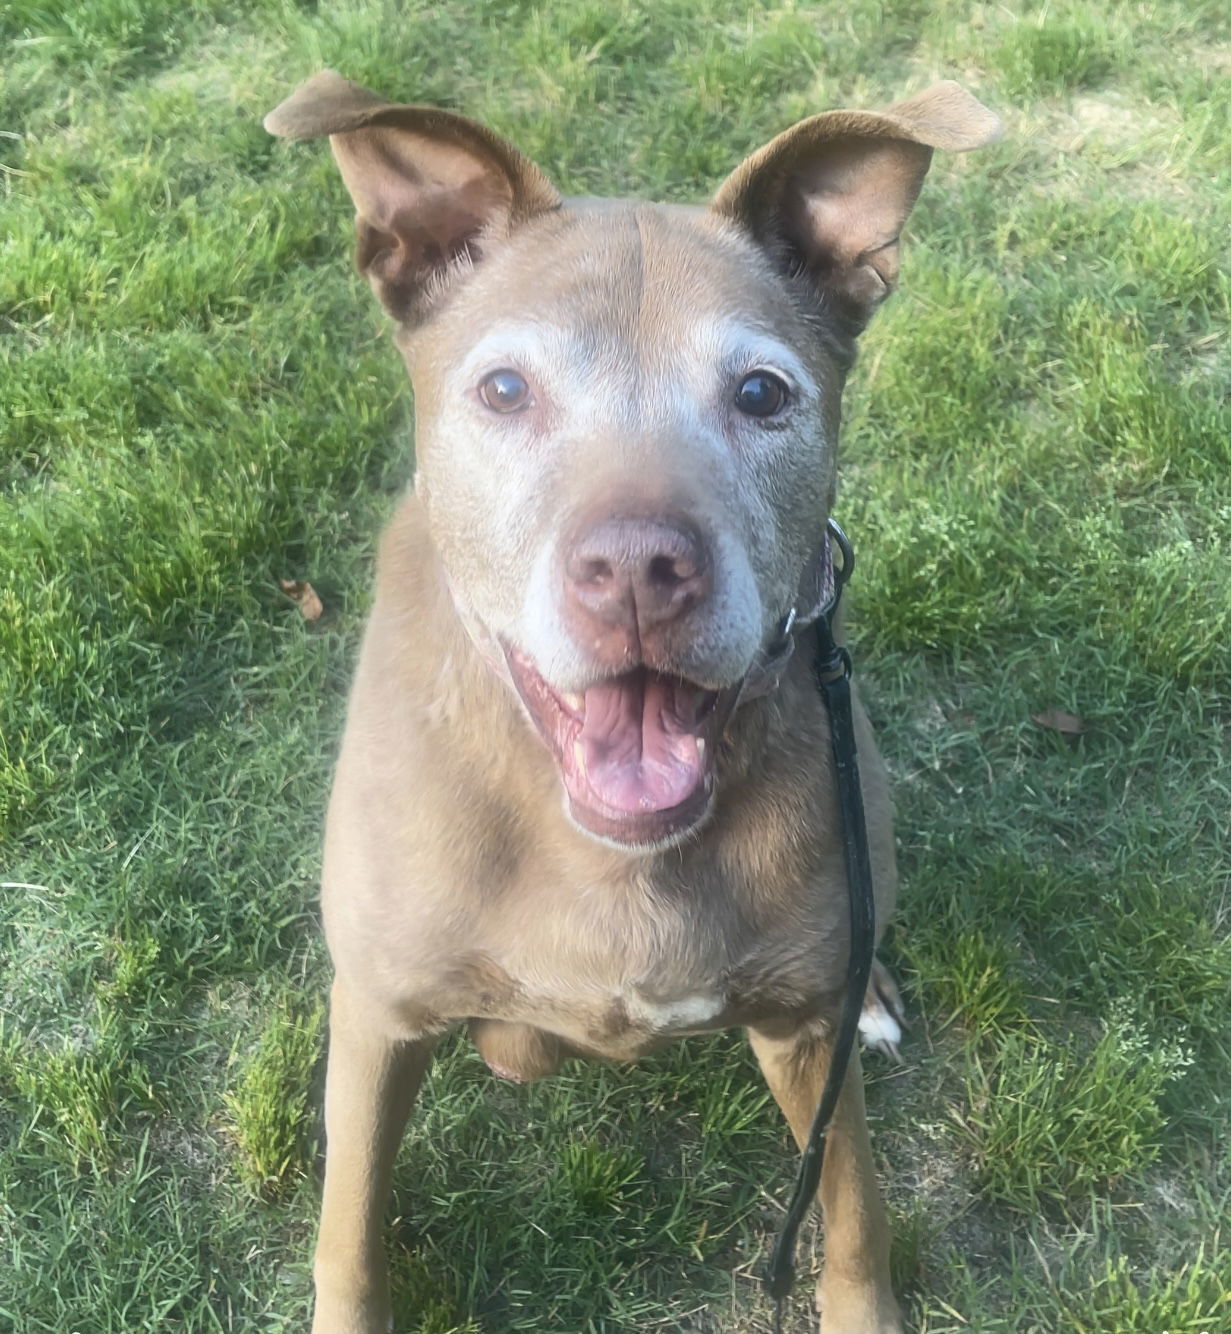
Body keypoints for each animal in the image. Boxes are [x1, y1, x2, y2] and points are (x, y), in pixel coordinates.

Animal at [266, 73, 1002, 1334]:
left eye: (760, 393)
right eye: (504, 388)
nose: (638, 571)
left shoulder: (804, 1045)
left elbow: (852, 1203)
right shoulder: (375, 1017)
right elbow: (349, 1232)